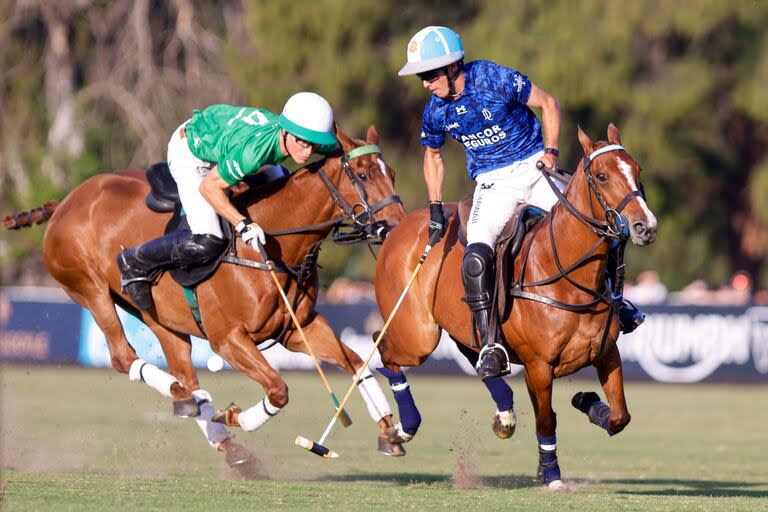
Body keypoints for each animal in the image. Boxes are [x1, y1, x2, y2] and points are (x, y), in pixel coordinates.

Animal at [6, 125, 408, 468]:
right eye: (362, 174)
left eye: (391, 172)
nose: (395, 226)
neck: (276, 245)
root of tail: (65, 202)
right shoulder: (228, 339)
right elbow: (278, 389)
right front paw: (234, 415)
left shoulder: (300, 327)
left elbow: (357, 364)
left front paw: (390, 430)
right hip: (90, 290)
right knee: (125, 358)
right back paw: (188, 399)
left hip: (160, 318)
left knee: (185, 373)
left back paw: (220, 436)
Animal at [372, 124, 656, 488]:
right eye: (602, 176)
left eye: (637, 170)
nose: (645, 227)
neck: (567, 274)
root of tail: (397, 228)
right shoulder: (539, 366)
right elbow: (546, 420)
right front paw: (551, 475)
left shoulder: (607, 353)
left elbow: (620, 416)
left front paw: (589, 402)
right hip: (417, 335)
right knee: (383, 347)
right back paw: (399, 431)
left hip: (460, 329)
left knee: (479, 359)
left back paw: (503, 412)